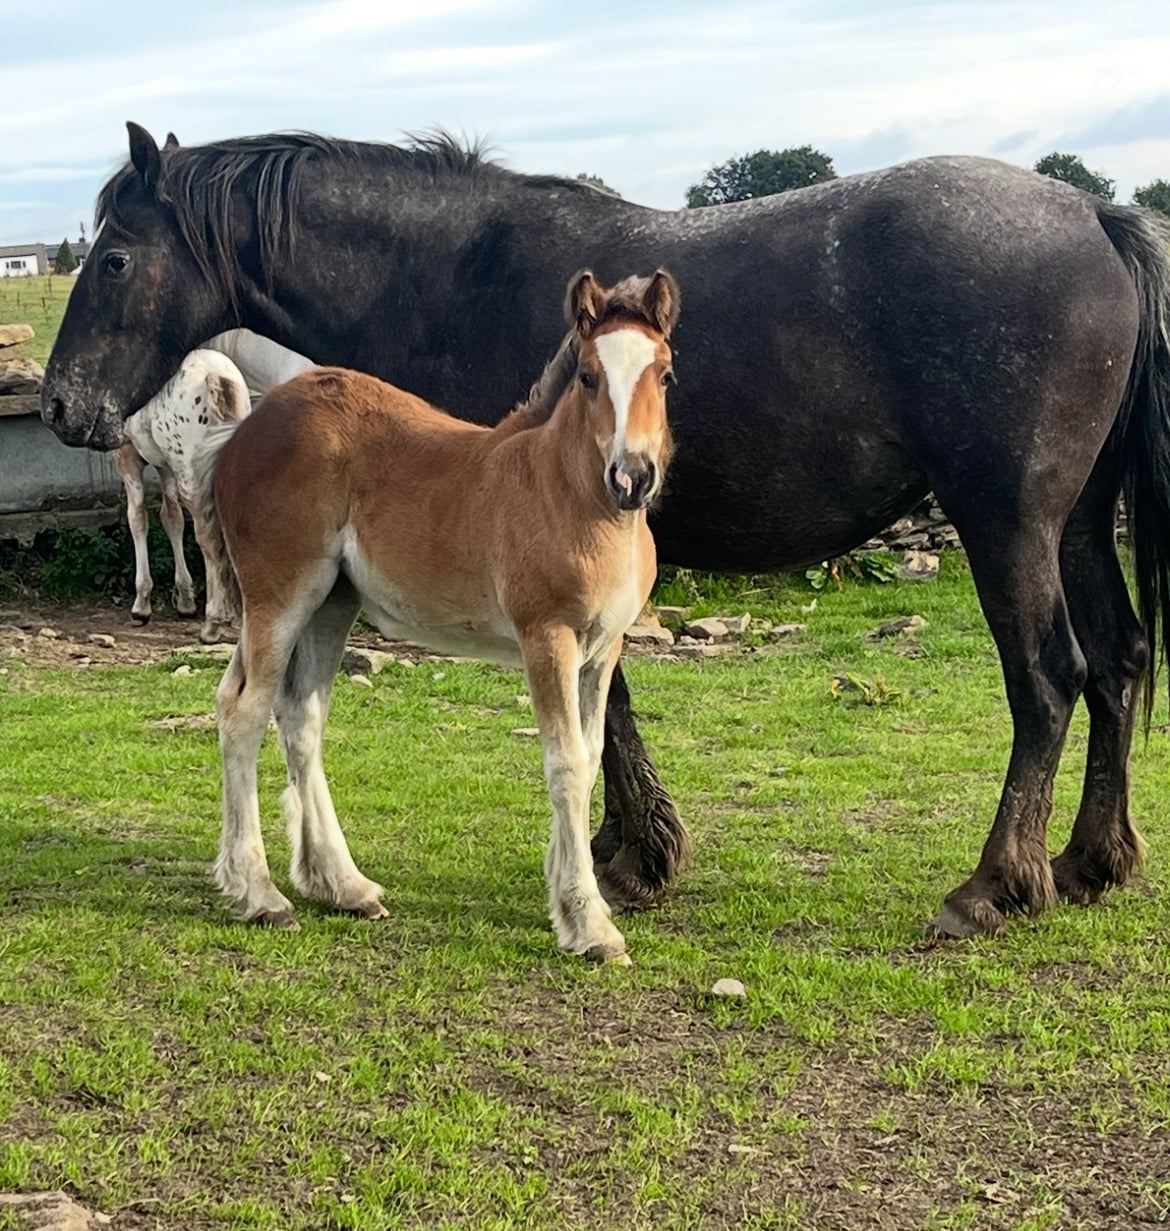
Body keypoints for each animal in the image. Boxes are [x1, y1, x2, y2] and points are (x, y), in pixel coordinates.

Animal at [113, 348, 251, 644]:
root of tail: (216, 377)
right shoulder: (165, 466)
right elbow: (172, 519)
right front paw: (186, 601)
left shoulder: (127, 454)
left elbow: (137, 518)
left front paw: (141, 606)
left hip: (192, 478)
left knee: (209, 539)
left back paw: (212, 624)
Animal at [193, 270, 678, 961]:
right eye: (588, 375)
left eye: (665, 374)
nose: (632, 477)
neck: (570, 496)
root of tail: (245, 429)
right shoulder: (547, 638)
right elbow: (564, 764)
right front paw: (589, 923)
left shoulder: (603, 648)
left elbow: (587, 762)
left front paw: (567, 896)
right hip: (278, 595)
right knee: (244, 711)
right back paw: (261, 895)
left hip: (330, 604)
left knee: (300, 717)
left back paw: (342, 885)